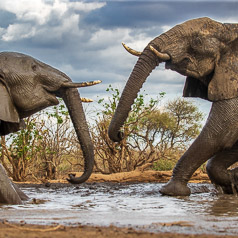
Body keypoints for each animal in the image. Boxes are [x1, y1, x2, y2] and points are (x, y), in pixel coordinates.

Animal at [109, 16, 238, 195]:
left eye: (197, 41)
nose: (120, 134)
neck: (227, 27)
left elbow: (221, 130)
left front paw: (171, 191)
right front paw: (232, 182)